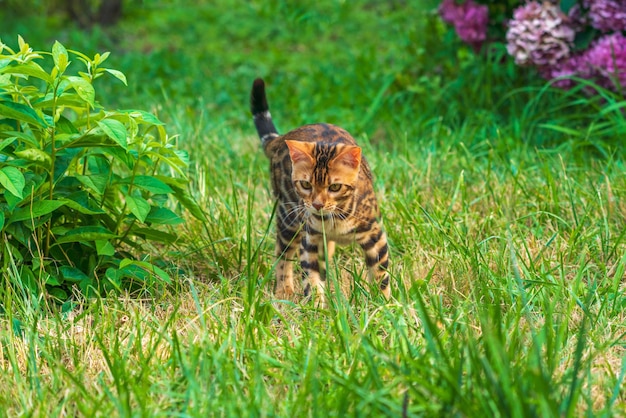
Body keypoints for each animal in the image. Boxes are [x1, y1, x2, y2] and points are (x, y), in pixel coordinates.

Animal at [247, 78, 386, 306]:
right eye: (306, 185)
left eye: (335, 187)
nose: (317, 204)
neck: (335, 219)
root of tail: (283, 137)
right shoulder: (309, 238)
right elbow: (310, 276)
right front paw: (318, 306)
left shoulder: (375, 234)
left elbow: (381, 275)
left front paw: (385, 304)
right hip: (288, 217)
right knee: (282, 254)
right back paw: (284, 289)